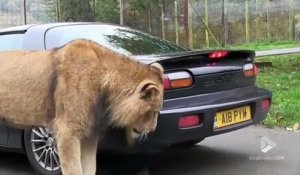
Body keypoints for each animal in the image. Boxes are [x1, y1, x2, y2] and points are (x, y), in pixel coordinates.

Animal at [0, 39, 164, 175]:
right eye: (155, 112)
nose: (153, 129)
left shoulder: (89, 135)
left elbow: (90, 167)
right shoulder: (67, 132)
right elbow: (74, 170)